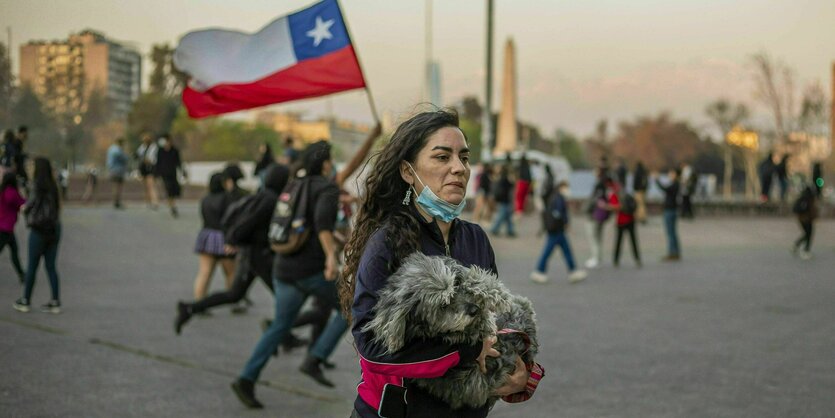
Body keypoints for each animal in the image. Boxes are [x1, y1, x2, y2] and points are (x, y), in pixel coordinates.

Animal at [362, 251, 540, 408]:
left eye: (456, 285)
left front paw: (489, 292)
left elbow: (476, 279)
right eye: (443, 305)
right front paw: (485, 320)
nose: (474, 309)